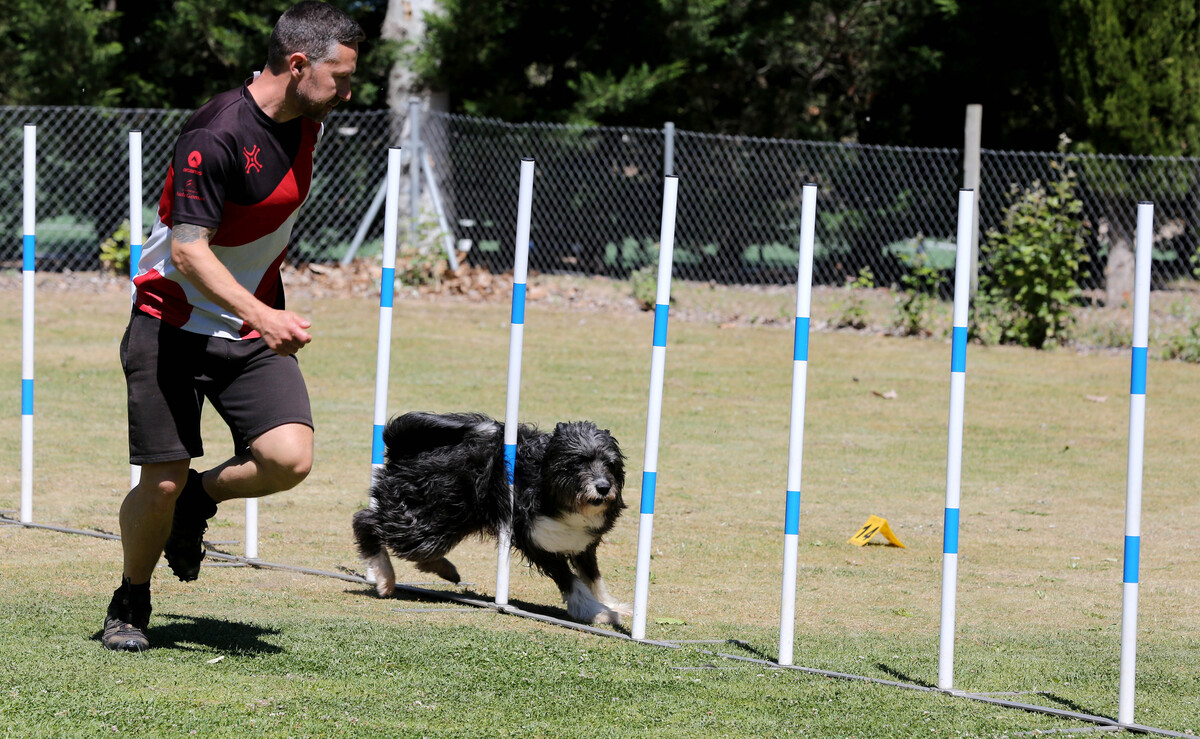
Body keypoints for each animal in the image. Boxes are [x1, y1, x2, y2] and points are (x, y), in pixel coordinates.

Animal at [350, 412, 633, 628]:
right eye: (579, 462)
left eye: (610, 464)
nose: (603, 487)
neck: (547, 489)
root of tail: (402, 446)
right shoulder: (534, 540)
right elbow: (570, 580)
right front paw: (596, 612)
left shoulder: (582, 542)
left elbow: (593, 577)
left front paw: (610, 604)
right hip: (426, 521)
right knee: (365, 520)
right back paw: (385, 577)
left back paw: (443, 569)